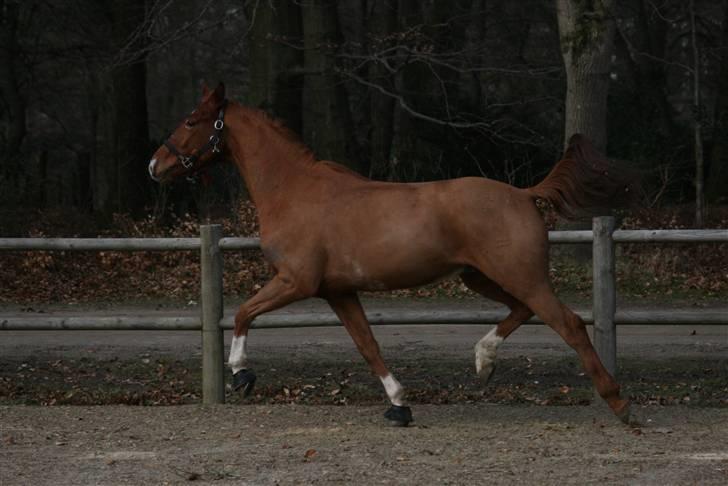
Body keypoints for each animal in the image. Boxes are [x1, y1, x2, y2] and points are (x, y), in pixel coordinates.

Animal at [151, 83, 636, 426]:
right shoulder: (338, 292)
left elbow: (242, 313)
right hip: (480, 276)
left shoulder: (296, 281)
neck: (293, 191)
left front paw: (241, 375)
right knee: (522, 311)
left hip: (522, 276)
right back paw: (483, 362)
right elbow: (368, 345)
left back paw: (619, 404)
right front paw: (400, 405)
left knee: (569, 324)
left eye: (192, 120)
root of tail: (522, 193)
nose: (155, 165)